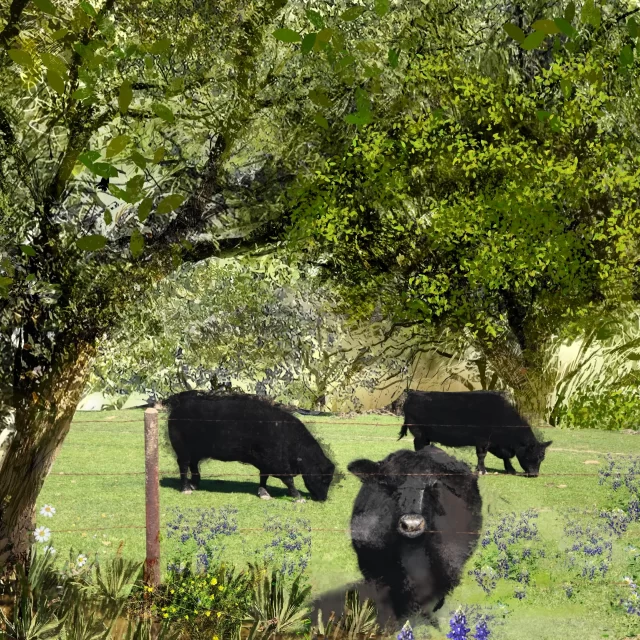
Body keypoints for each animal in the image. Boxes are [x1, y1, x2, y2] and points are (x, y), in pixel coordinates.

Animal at [164, 390, 336, 501]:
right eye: (324, 479)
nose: (323, 499)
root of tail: (180, 405)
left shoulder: (266, 462)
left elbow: (264, 477)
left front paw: (264, 492)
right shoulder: (277, 463)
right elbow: (288, 480)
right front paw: (298, 497)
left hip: (195, 451)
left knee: (193, 465)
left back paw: (194, 484)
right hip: (182, 450)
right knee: (184, 465)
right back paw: (186, 488)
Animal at [398, 390, 552, 477]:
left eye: (542, 457)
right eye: (529, 455)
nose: (534, 474)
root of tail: (413, 394)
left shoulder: (497, 444)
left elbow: (505, 457)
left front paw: (510, 469)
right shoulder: (482, 440)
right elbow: (482, 455)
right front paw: (482, 470)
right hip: (419, 432)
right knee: (418, 445)